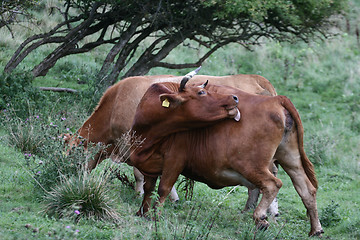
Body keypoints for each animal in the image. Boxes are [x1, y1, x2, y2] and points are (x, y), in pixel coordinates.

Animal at [130, 79, 324, 236]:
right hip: (290, 158)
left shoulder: (175, 159)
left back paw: (260, 217)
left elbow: (163, 188)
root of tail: (275, 99)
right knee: (307, 190)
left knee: (272, 184)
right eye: (201, 92)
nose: (235, 98)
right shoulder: (149, 165)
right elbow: (148, 188)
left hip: (251, 166)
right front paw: (143, 213)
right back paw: (315, 229)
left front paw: (155, 216)